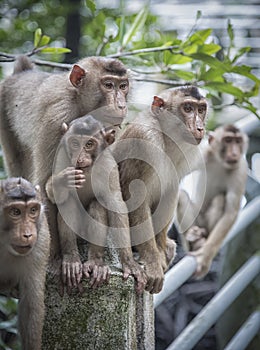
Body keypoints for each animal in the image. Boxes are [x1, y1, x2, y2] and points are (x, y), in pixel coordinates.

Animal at [0, 54, 129, 262]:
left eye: (123, 86)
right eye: (109, 85)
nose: (121, 104)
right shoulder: (56, 118)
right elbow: (44, 183)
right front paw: (52, 256)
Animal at [45, 115, 145, 292]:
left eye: (89, 144)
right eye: (75, 143)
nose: (79, 158)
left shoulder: (108, 164)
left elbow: (115, 204)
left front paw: (129, 262)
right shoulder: (62, 156)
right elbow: (55, 196)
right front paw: (63, 180)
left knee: (97, 204)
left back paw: (96, 262)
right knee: (68, 202)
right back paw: (71, 260)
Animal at [112, 86, 208, 294]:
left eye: (201, 109)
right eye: (187, 108)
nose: (200, 127)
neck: (165, 134)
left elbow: (170, 190)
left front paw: (161, 249)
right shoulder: (143, 140)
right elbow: (136, 198)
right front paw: (153, 261)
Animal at [178, 124, 249, 278]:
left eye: (238, 141)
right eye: (228, 140)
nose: (234, 152)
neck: (220, 162)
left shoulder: (241, 169)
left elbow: (230, 212)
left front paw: (205, 255)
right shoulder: (202, 153)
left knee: (220, 200)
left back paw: (202, 241)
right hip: (197, 220)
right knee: (181, 197)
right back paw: (193, 240)